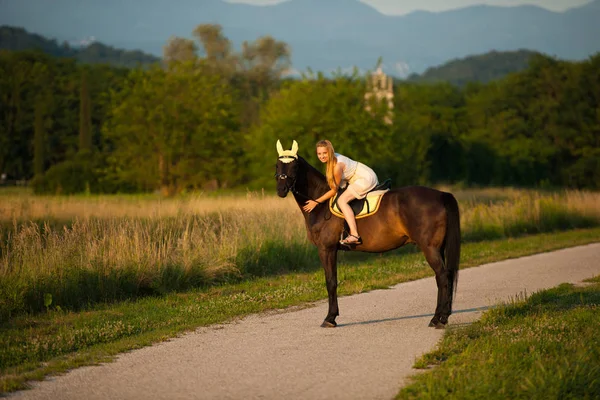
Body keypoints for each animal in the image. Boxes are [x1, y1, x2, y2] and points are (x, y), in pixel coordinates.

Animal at [274, 141, 462, 328]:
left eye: (295, 166)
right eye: (277, 165)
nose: (281, 190)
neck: (321, 204)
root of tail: (441, 195)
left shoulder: (326, 249)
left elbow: (331, 282)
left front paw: (330, 318)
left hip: (429, 248)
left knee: (442, 276)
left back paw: (438, 319)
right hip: (438, 247)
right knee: (445, 276)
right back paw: (442, 316)